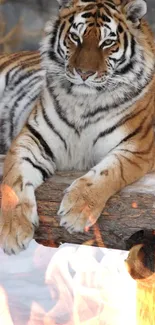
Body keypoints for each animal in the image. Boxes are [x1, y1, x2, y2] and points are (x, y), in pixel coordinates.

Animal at [0, 0, 155, 253]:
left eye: (107, 42)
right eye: (75, 37)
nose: (84, 73)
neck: (84, 102)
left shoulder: (138, 147)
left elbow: (109, 172)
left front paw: (76, 211)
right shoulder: (33, 137)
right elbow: (14, 180)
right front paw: (13, 231)